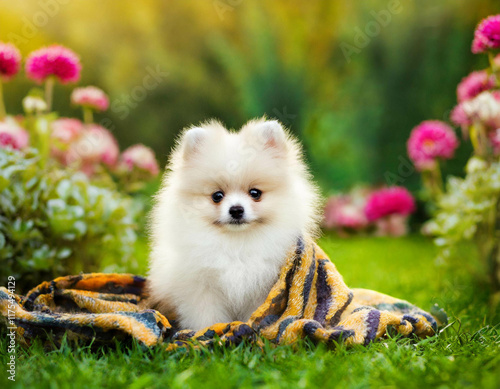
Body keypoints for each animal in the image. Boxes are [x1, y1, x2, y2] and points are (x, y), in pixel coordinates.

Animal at [148, 119, 320, 330]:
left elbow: (255, 314)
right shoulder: (201, 286)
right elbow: (206, 316)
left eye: (255, 193)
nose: (236, 210)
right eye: (217, 196)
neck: (237, 243)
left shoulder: (261, 288)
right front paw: (209, 332)